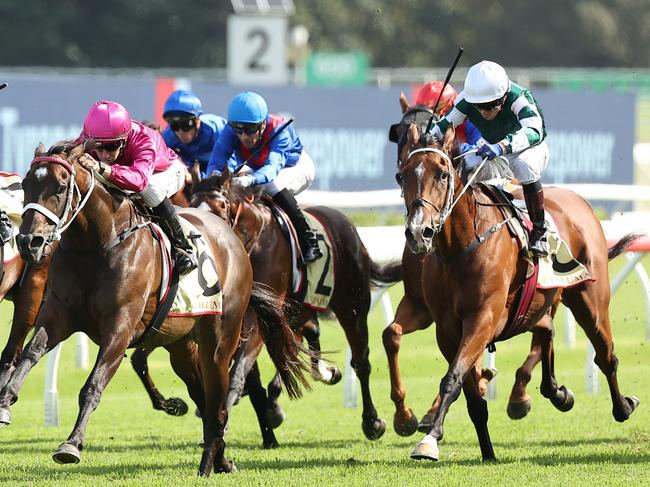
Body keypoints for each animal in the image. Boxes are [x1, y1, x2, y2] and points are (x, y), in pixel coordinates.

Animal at [0, 142, 308, 476]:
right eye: (25, 185)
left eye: (59, 187)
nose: (29, 241)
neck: (96, 244)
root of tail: (232, 238)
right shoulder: (58, 314)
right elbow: (29, 354)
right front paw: (5, 402)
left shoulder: (120, 325)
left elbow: (93, 385)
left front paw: (71, 445)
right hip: (181, 346)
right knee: (203, 399)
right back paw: (221, 458)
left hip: (220, 340)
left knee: (217, 402)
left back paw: (210, 461)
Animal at [187, 172, 400, 446]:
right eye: (192, 204)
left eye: (221, 206)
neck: (252, 242)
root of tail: (346, 224)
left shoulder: (258, 318)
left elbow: (237, 372)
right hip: (297, 310)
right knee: (307, 336)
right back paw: (323, 373)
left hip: (352, 305)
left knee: (361, 361)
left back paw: (372, 422)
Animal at [392, 121, 636, 462]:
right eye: (402, 175)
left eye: (442, 174)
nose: (418, 232)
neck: (459, 247)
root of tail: (580, 203)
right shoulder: (447, 329)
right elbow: (470, 395)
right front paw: (486, 451)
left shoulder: (482, 319)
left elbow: (452, 378)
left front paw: (429, 439)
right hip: (539, 303)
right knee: (547, 330)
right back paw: (557, 392)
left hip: (590, 302)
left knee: (606, 355)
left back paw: (623, 406)